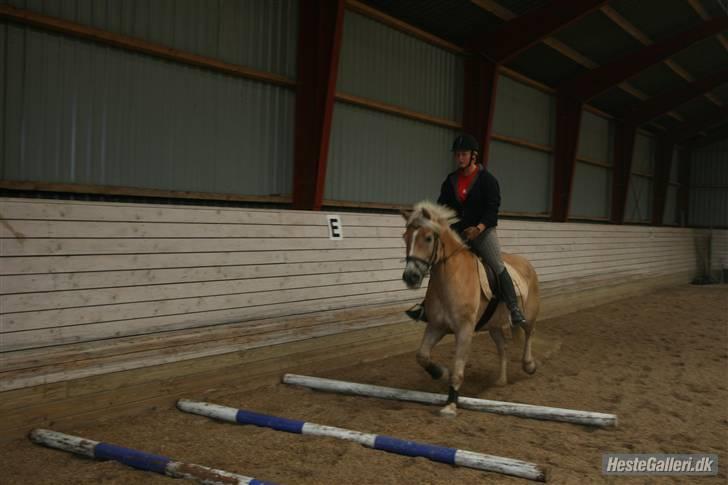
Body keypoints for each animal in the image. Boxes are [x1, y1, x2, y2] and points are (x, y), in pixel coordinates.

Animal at [400, 200, 536, 416]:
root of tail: (526, 263)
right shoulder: (436, 326)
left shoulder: (464, 330)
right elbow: (422, 355)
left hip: (529, 315)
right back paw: (500, 381)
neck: (450, 278)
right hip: (493, 325)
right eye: (405, 237)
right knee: (502, 347)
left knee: (529, 334)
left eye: (428, 238)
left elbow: (457, 370)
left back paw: (529, 365)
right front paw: (440, 372)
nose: (410, 277)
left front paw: (450, 405)